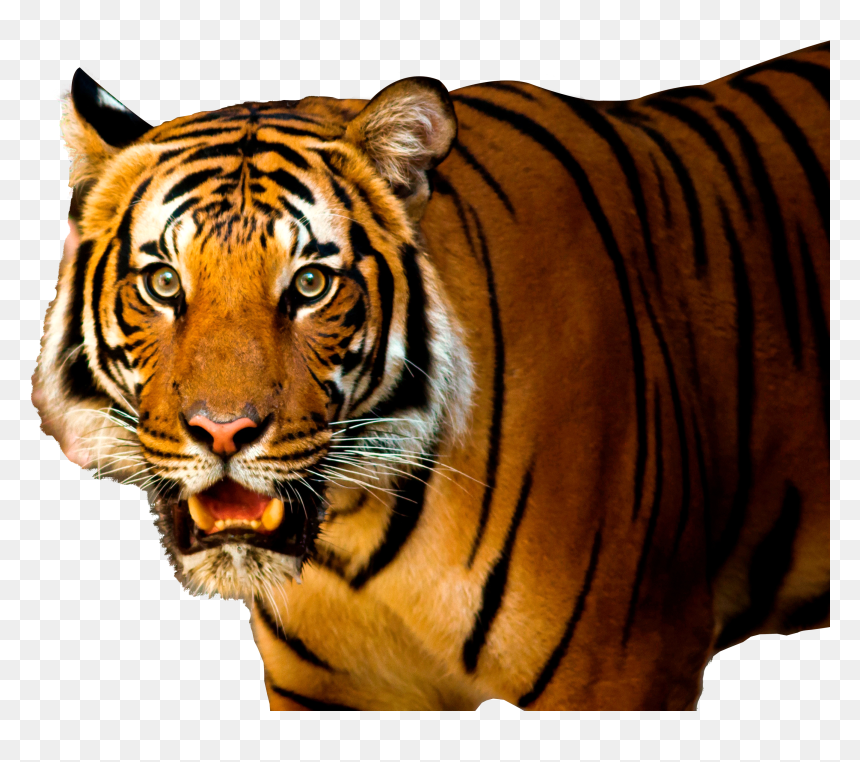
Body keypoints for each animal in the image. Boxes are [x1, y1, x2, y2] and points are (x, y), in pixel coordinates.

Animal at [32, 41, 830, 711]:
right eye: (164, 283)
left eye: (311, 284)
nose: (223, 433)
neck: (356, 538)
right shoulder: (326, 694)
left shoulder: (626, 669)